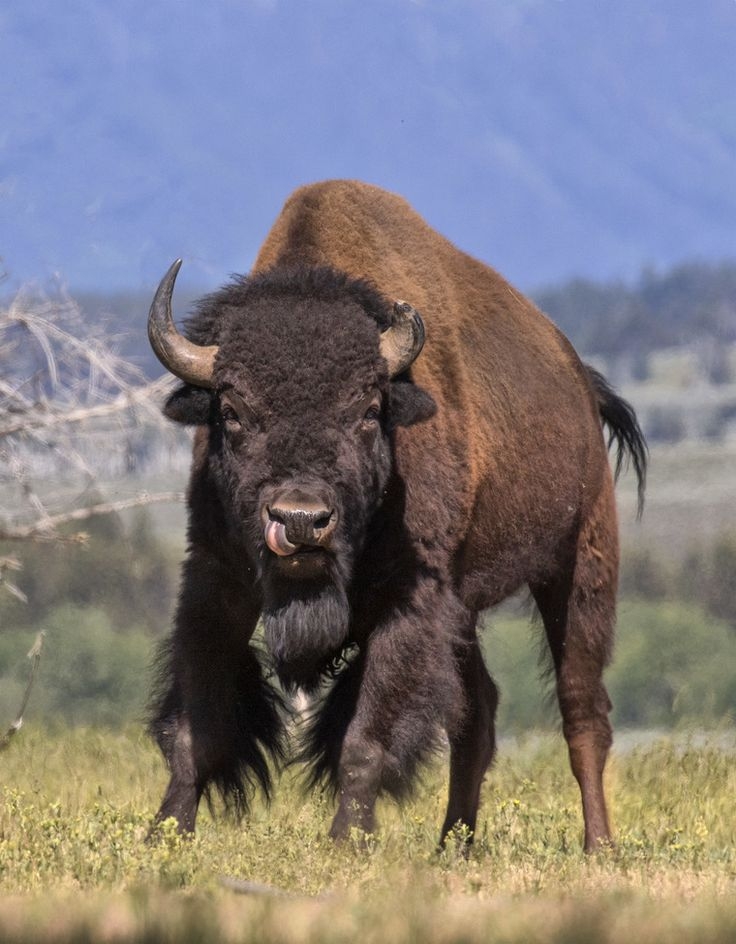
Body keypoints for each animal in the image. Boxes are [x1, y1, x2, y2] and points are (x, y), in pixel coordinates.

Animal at [147, 180, 646, 851]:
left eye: (367, 409)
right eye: (231, 412)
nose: (301, 521)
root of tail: (579, 383)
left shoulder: (409, 600)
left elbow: (366, 738)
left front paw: (345, 843)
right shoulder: (215, 581)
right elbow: (196, 730)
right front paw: (162, 837)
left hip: (580, 566)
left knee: (582, 711)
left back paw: (598, 847)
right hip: (465, 607)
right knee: (479, 712)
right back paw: (453, 846)